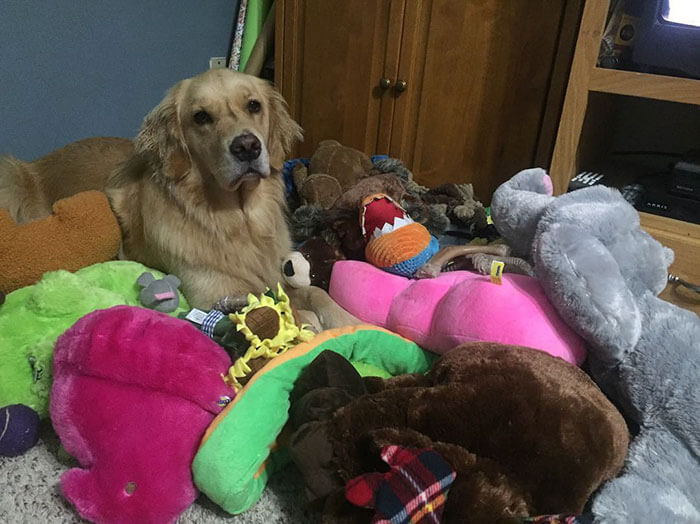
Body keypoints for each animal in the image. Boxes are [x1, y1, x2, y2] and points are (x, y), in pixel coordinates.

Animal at [0, 67, 360, 326]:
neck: (237, 218)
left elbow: (315, 292)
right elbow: (282, 310)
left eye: (253, 105)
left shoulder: (276, 270)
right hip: (11, 177)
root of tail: (35, 163)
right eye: (201, 117)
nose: (247, 146)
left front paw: (348, 320)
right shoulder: (216, 291)